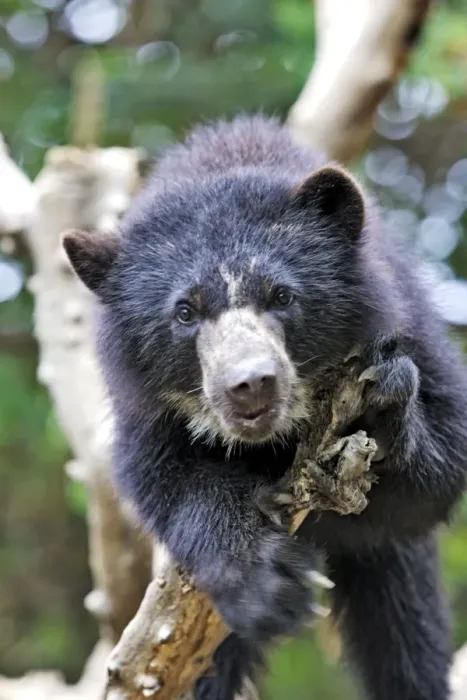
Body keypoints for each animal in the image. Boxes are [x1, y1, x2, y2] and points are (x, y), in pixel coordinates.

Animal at [63, 115, 467, 700]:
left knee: (405, 631)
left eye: (281, 296)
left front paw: (385, 400)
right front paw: (269, 581)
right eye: (184, 312)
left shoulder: (409, 321)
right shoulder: (143, 409)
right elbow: (164, 479)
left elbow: (441, 469)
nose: (251, 384)